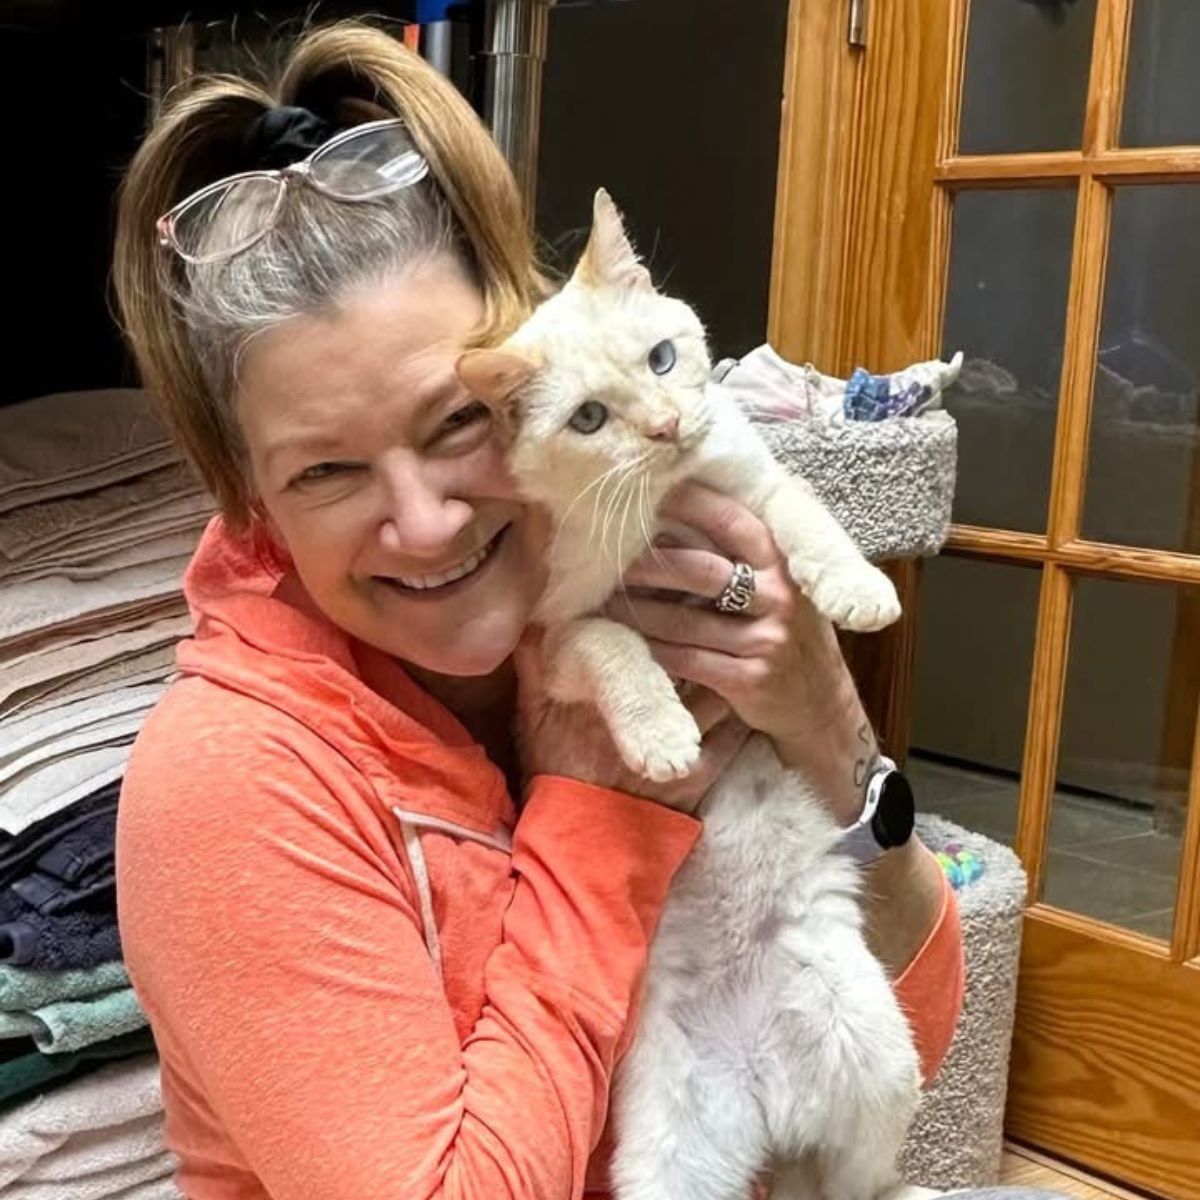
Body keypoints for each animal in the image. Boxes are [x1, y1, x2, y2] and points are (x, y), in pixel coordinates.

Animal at [456, 189, 916, 1200]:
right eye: (590, 417)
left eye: (663, 358)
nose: (667, 427)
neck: (661, 509)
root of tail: (770, 1097)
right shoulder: (552, 634)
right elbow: (618, 642)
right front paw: (662, 732)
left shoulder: (756, 491)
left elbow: (805, 518)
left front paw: (859, 586)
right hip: (671, 1148)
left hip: (875, 1050)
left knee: (858, 1179)